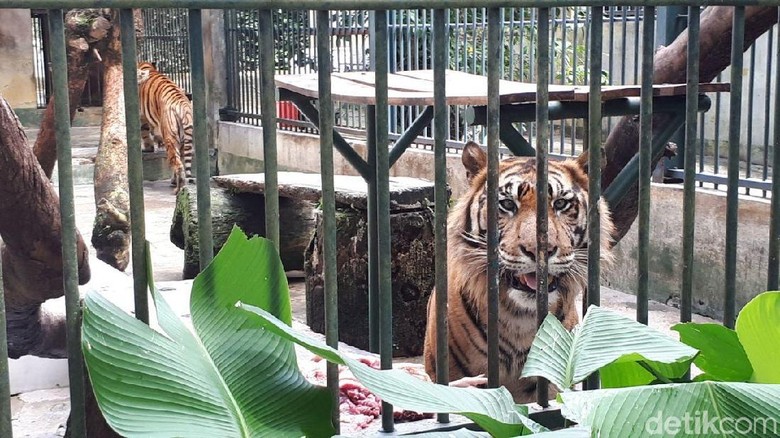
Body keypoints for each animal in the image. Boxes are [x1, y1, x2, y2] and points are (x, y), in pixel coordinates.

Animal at [136, 61, 194, 193]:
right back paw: (177, 184)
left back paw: (178, 189)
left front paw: (148, 147)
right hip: (186, 140)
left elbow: (144, 131)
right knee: (183, 162)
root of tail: (183, 107)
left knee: (178, 165)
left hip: (171, 139)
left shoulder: (141, 115)